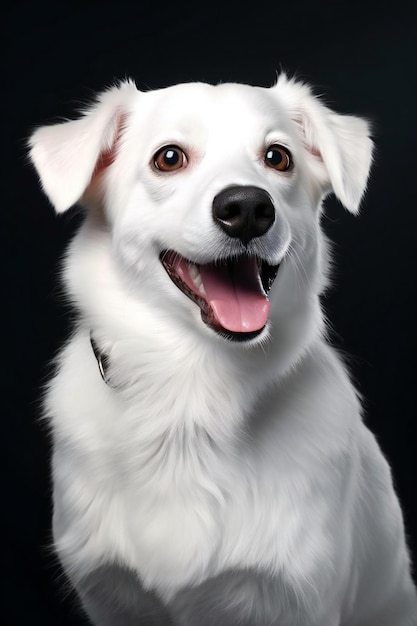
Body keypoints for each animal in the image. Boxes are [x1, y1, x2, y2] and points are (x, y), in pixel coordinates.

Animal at [30, 75, 416, 620]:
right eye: (169, 158)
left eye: (278, 157)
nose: (249, 209)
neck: (193, 392)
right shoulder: (108, 596)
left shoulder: (303, 600)